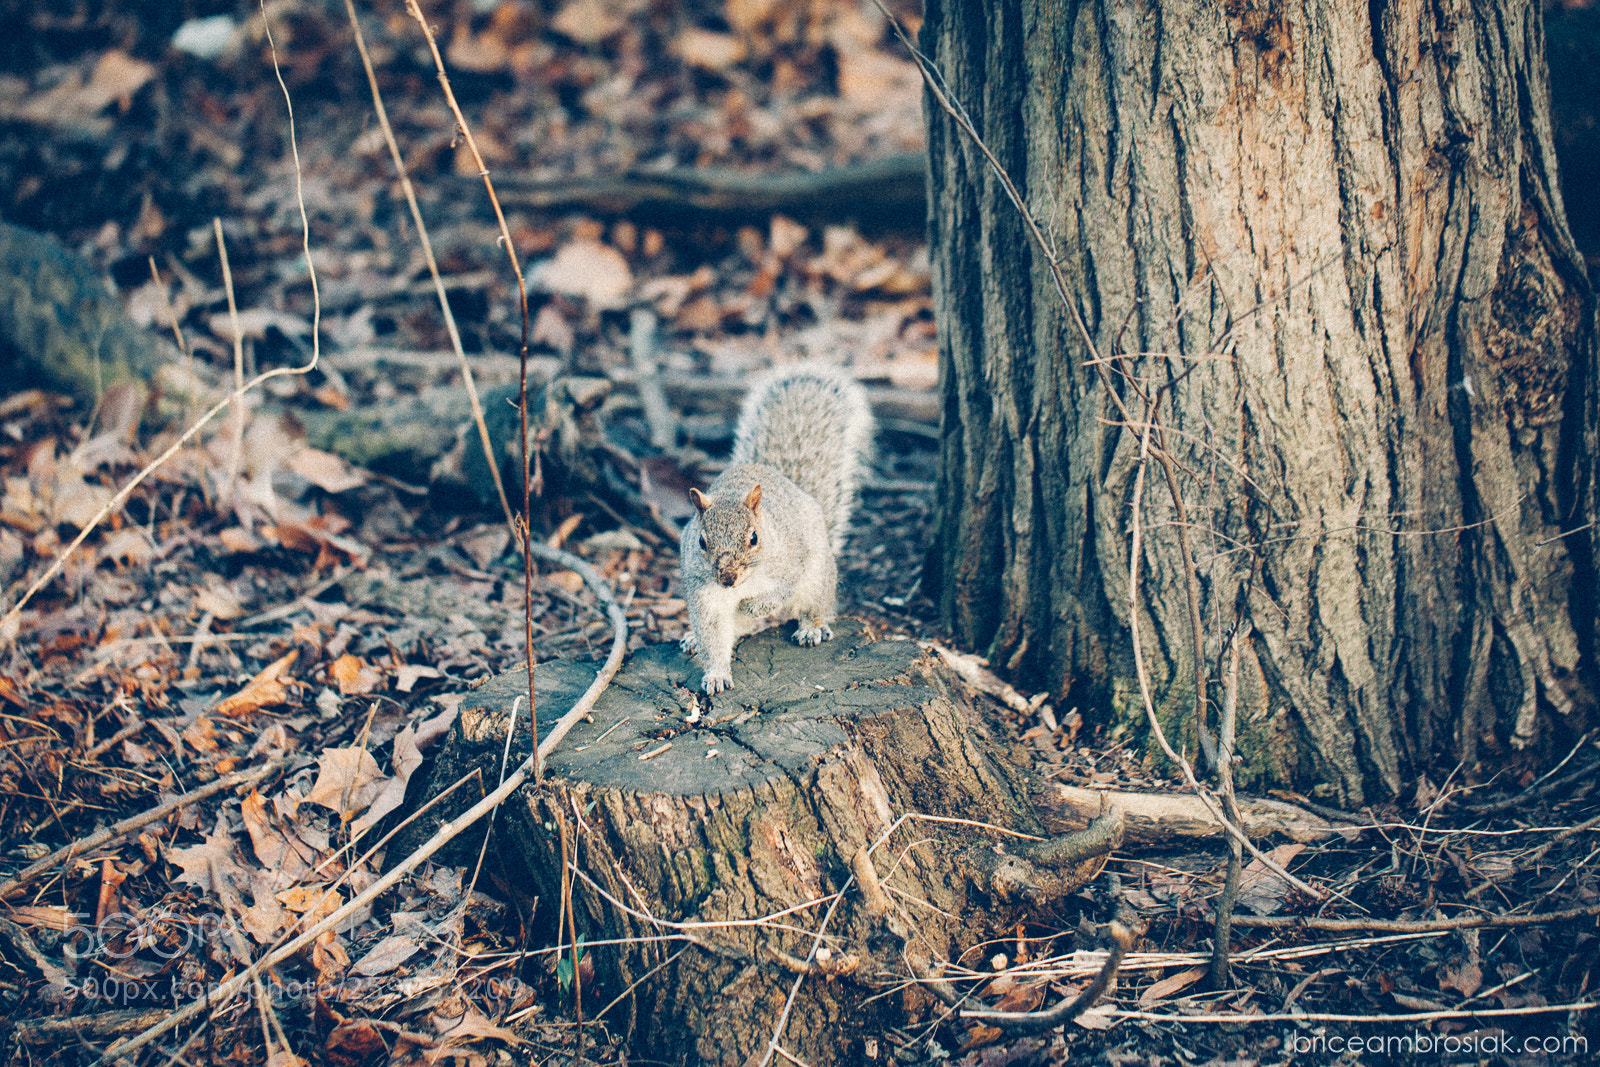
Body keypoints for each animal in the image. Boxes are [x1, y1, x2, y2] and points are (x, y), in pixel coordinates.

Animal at [679, 365, 874, 694]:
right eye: (702, 542)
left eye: (754, 538)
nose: (728, 579)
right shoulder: (705, 596)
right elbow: (714, 635)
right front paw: (716, 674)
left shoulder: (791, 564)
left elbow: (780, 593)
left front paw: (752, 607)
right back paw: (694, 637)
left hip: (818, 577)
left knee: (815, 607)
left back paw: (811, 628)